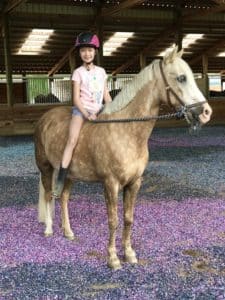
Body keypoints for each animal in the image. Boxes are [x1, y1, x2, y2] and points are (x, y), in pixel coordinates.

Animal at [34, 47, 212, 270]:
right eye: (181, 78)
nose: (206, 113)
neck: (126, 131)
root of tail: (45, 118)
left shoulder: (134, 183)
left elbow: (128, 219)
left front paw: (129, 254)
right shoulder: (111, 184)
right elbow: (113, 220)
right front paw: (113, 259)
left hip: (69, 174)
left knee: (64, 197)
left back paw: (68, 232)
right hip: (46, 169)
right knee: (49, 196)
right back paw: (49, 230)